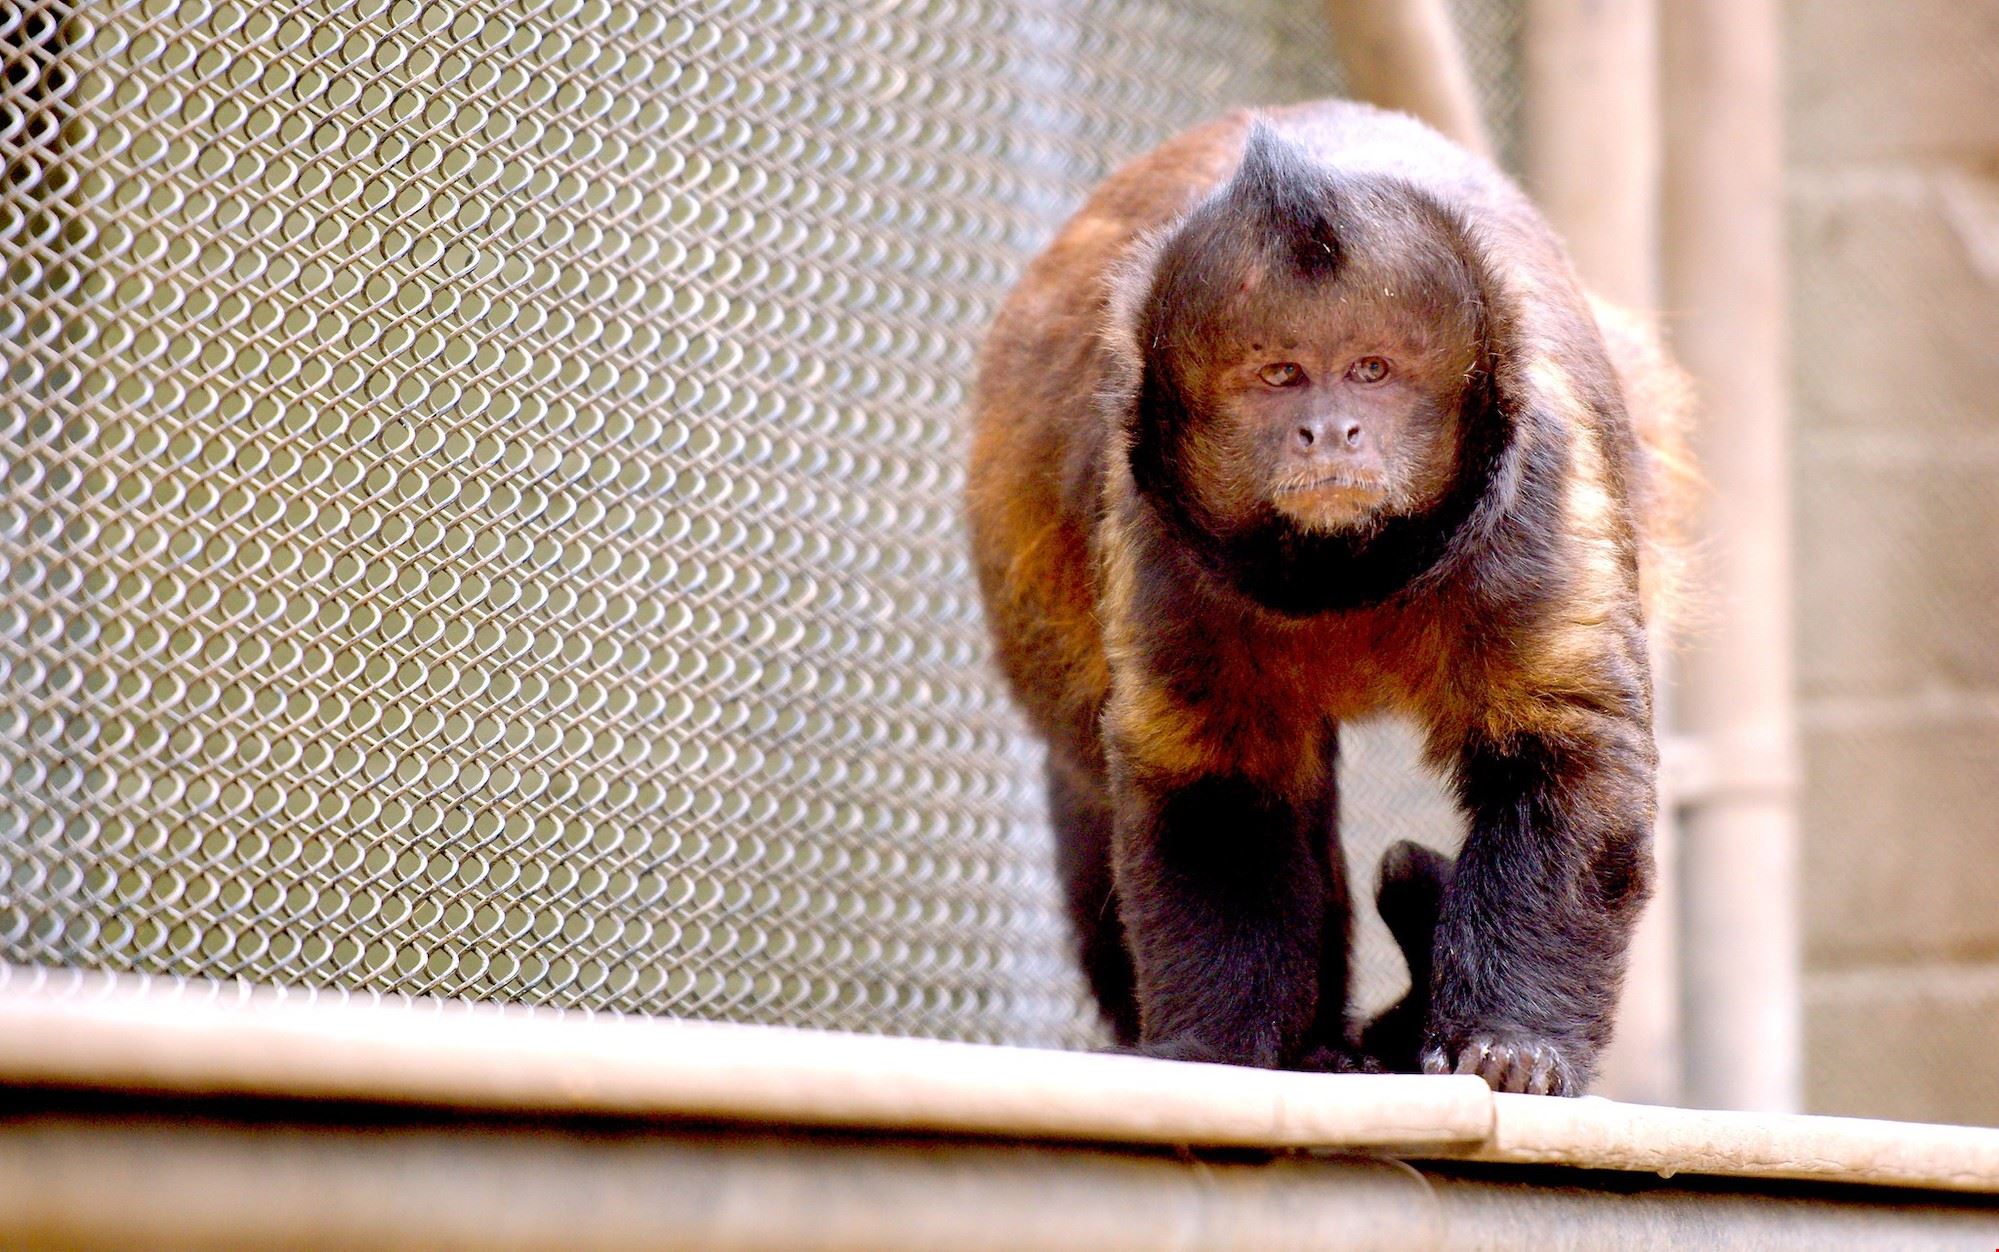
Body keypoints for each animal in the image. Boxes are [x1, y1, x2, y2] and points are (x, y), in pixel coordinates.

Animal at [967, 100, 1687, 1088]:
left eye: (1370, 370)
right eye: (1280, 374)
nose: (1329, 429)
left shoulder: (1544, 472)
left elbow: (1567, 754)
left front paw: (1513, 1041)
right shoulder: (1154, 534)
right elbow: (1212, 785)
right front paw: (1216, 1048)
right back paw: (1322, 1047)